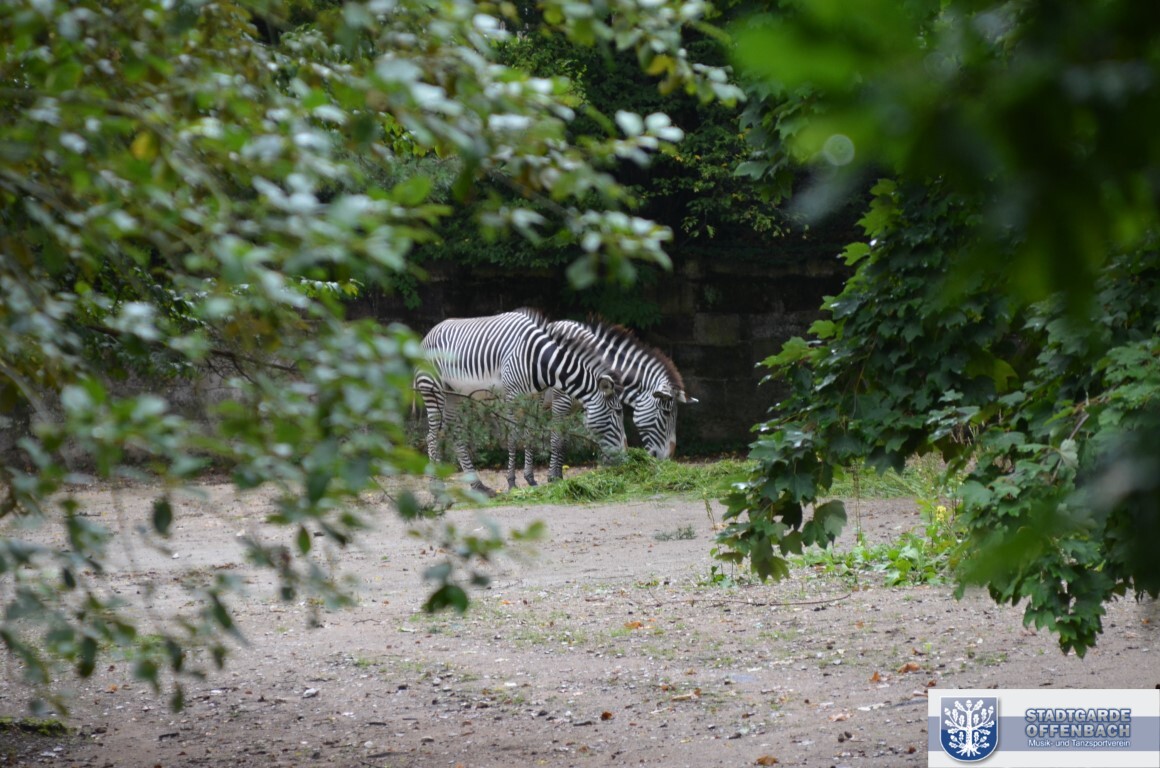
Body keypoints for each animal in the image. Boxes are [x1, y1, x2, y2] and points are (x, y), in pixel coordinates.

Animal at [415, 309, 627, 495]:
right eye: (617, 412)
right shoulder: (524, 398)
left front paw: (536, 479)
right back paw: (437, 489)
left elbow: (538, 437)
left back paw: (479, 486)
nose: (625, 458)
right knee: (432, 437)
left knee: (454, 435)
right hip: (433, 390)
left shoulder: (535, 398)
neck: (541, 362)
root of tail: (428, 334)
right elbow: (520, 438)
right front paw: (518, 482)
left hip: (454, 394)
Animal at [514, 318, 696, 486]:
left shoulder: (584, 407)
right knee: (526, 432)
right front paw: (553, 479)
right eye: (666, 413)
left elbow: (572, 440)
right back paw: (528, 478)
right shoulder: (561, 404)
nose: (667, 459)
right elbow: (557, 439)